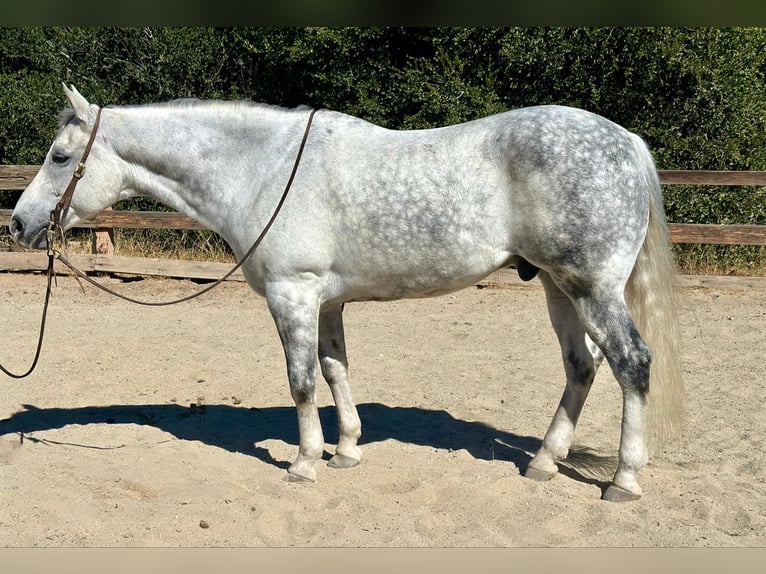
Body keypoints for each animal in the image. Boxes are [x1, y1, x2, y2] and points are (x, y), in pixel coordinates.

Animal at [9, 84, 684, 501]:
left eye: (60, 156)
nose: (18, 223)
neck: (261, 168)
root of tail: (626, 142)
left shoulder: (292, 294)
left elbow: (302, 380)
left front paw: (305, 463)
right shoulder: (327, 301)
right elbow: (335, 370)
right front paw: (347, 451)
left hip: (591, 287)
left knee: (632, 363)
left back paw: (623, 481)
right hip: (556, 287)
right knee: (581, 367)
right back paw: (543, 462)